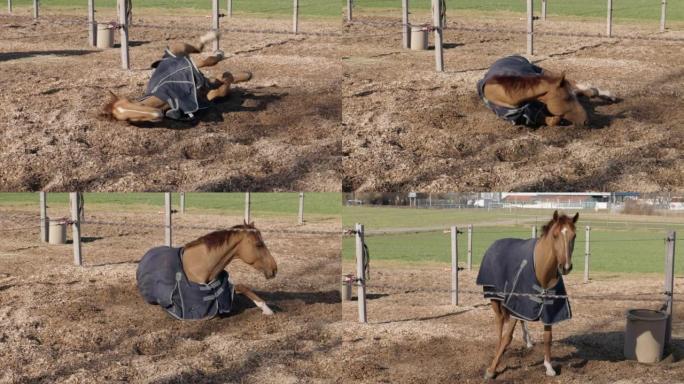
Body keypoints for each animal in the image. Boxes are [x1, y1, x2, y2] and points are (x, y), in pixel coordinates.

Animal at [101, 32, 251, 124]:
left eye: (132, 102)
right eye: (129, 119)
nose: (157, 114)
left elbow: (225, 78)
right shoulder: (207, 92)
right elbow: (224, 82)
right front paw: (238, 76)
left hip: (179, 49)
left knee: (200, 51)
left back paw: (215, 41)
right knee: (205, 66)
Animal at [478, 212, 580, 380]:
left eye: (574, 235)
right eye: (555, 235)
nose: (565, 267)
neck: (542, 271)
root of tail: (494, 244)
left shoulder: (548, 309)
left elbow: (548, 337)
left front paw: (549, 367)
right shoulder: (517, 303)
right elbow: (507, 337)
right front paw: (491, 370)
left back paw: (528, 341)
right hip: (494, 297)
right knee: (499, 323)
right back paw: (498, 347)